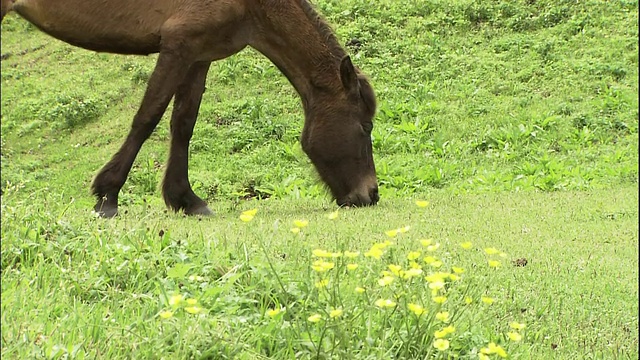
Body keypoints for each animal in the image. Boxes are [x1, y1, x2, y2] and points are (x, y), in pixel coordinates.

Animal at [1, 0, 380, 217]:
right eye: (365, 127)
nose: (371, 194)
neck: (253, 5)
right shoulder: (177, 46)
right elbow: (147, 117)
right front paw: (108, 194)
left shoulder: (199, 54)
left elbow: (183, 124)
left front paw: (185, 199)